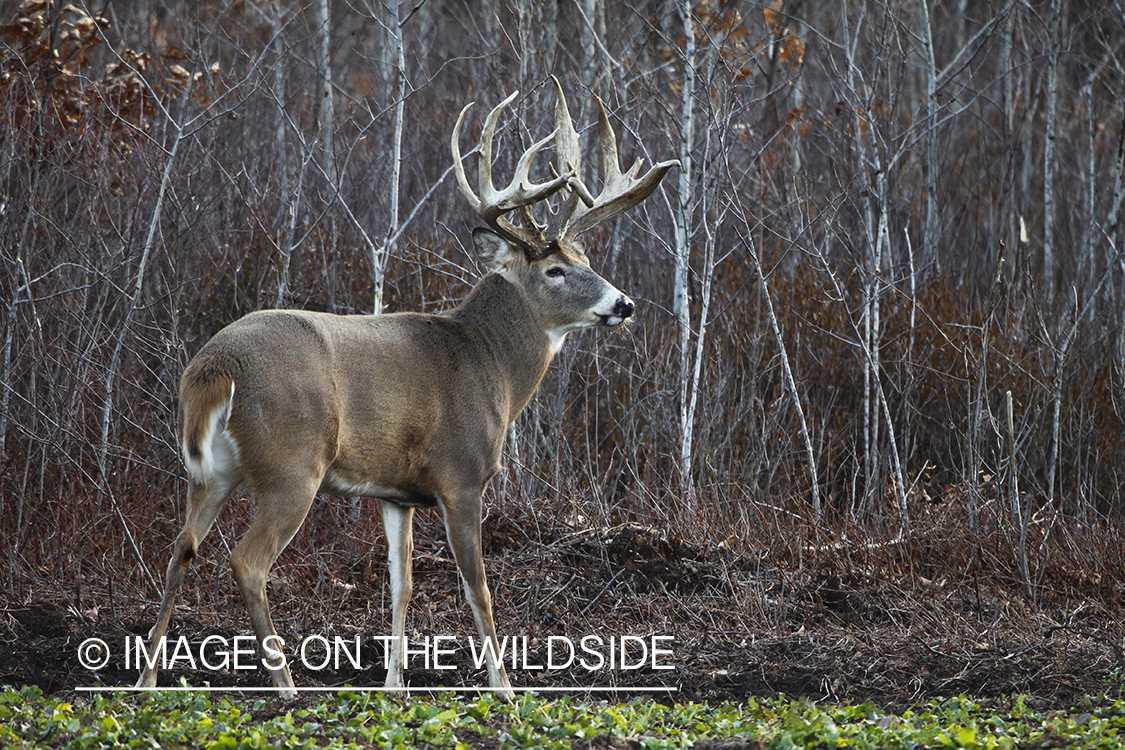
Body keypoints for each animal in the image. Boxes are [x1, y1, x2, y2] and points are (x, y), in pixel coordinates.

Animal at [131, 79, 675, 701]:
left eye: (584, 257)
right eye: (553, 270)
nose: (623, 304)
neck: (490, 363)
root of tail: (214, 367)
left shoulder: (395, 493)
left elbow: (402, 583)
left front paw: (394, 686)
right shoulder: (461, 475)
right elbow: (477, 586)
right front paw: (504, 689)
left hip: (210, 473)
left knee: (181, 550)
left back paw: (147, 682)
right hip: (292, 463)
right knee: (247, 562)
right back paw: (287, 687)